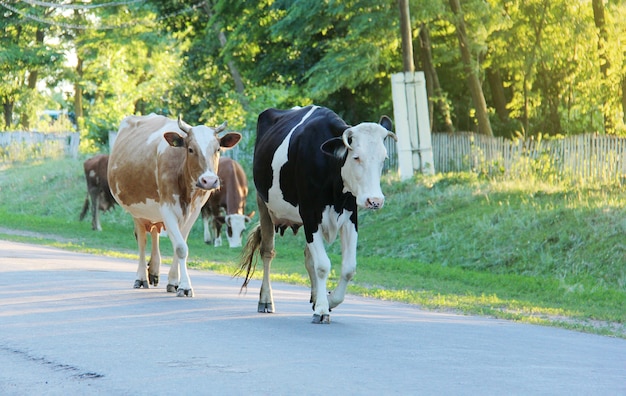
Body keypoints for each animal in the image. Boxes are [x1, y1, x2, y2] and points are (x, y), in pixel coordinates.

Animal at [107, 113, 239, 296]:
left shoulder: (194, 211)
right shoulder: (167, 208)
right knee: (142, 241)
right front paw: (185, 286)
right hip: (137, 212)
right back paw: (141, 277)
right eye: (190, 149)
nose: (209, 180)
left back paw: (154, 270)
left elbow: (181, 243)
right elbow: (181, 247)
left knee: (154, 233)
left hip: (153, 212)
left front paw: (175, 282)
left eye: (217, 149)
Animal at [239, 104, 394, 322]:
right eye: (356, 157)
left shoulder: (350, 217)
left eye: (383, 159)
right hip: (264, 205)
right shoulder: (310, 215)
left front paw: (329, 300)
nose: (375, 201)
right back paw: (266, 300)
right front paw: (322, 308)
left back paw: (314, 295)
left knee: (308, 257)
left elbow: (348, 268)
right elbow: (322, 265)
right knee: (268, 252)